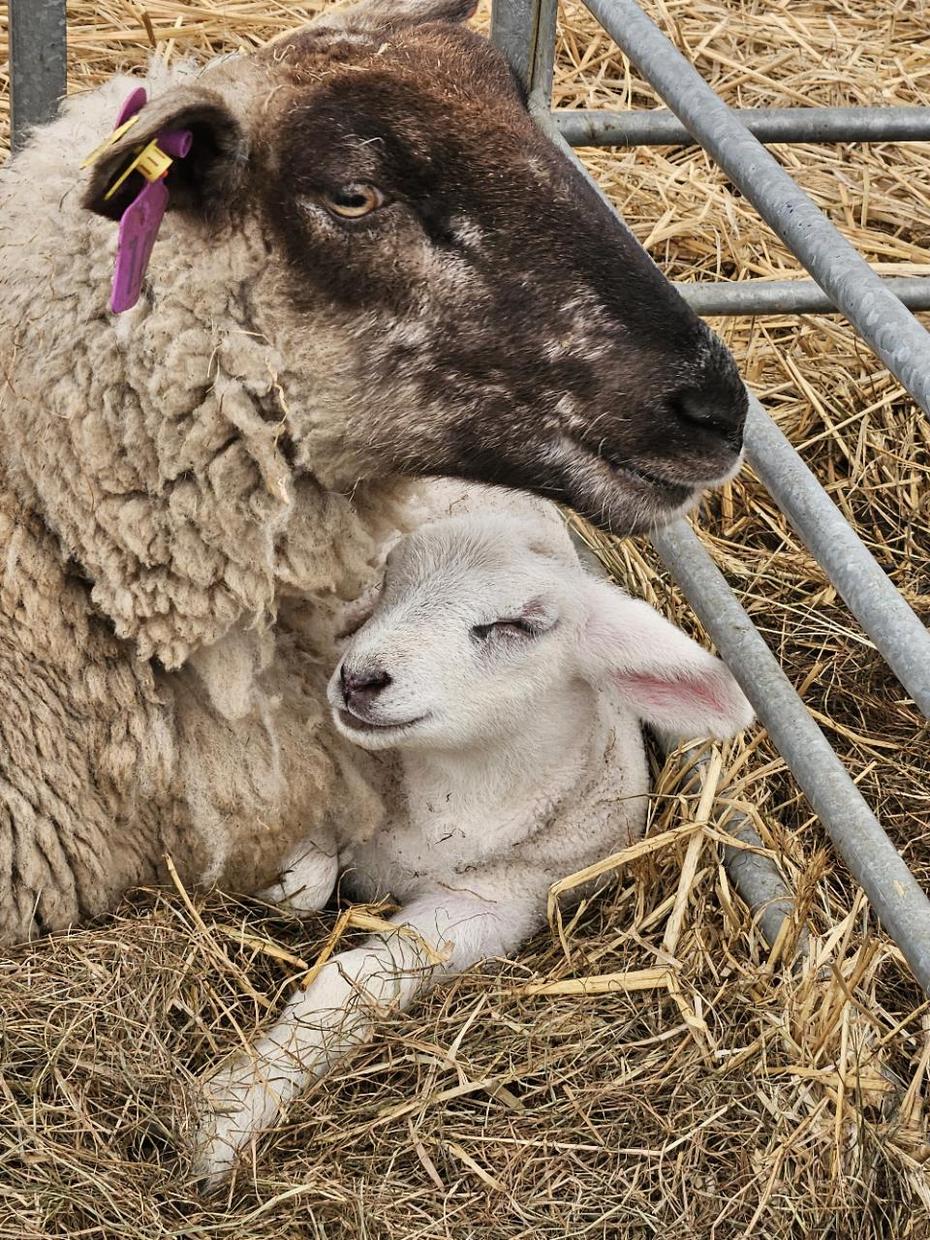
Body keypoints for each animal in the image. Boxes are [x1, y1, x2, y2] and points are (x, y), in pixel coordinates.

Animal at [195, 497, 753, 1181]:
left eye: (516, 624)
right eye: (390, 583)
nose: (358, 679)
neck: (452, 796)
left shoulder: (500, 902)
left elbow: (366, 976)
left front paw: (230, 1112)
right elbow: (305, 883)